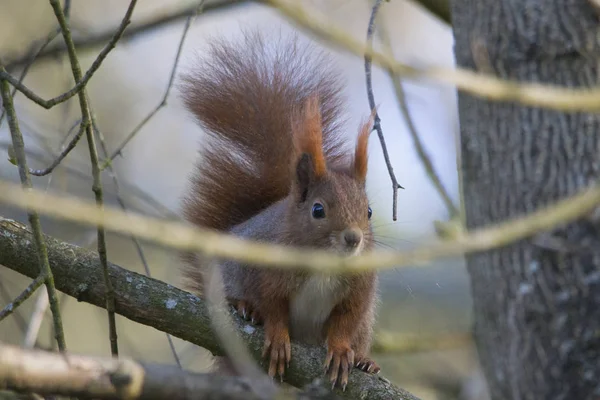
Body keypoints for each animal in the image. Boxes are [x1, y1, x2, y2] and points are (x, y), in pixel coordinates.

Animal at [179, 29, 380, 390]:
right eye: (318, 210)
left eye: (368, 211)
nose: (354, 239)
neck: (324, 261)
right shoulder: (268, 271)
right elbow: (274, 308)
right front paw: (276, 337)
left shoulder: (360, 288)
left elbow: (346, 321)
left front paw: (341, 350)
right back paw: (245, 307)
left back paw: (364, 360)